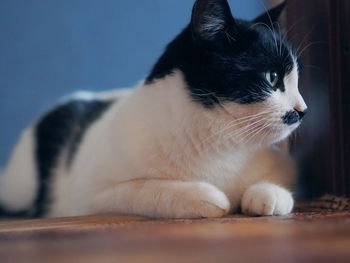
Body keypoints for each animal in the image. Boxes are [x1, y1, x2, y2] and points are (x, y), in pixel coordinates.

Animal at [0, 0, 306, 219]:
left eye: (296, 81)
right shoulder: (91, 195)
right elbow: (148, 189)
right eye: (272, 78)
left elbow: (276, 184)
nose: (302, 110)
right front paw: (206, 197)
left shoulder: (285, 166)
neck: (221, 144)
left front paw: (269, 195)